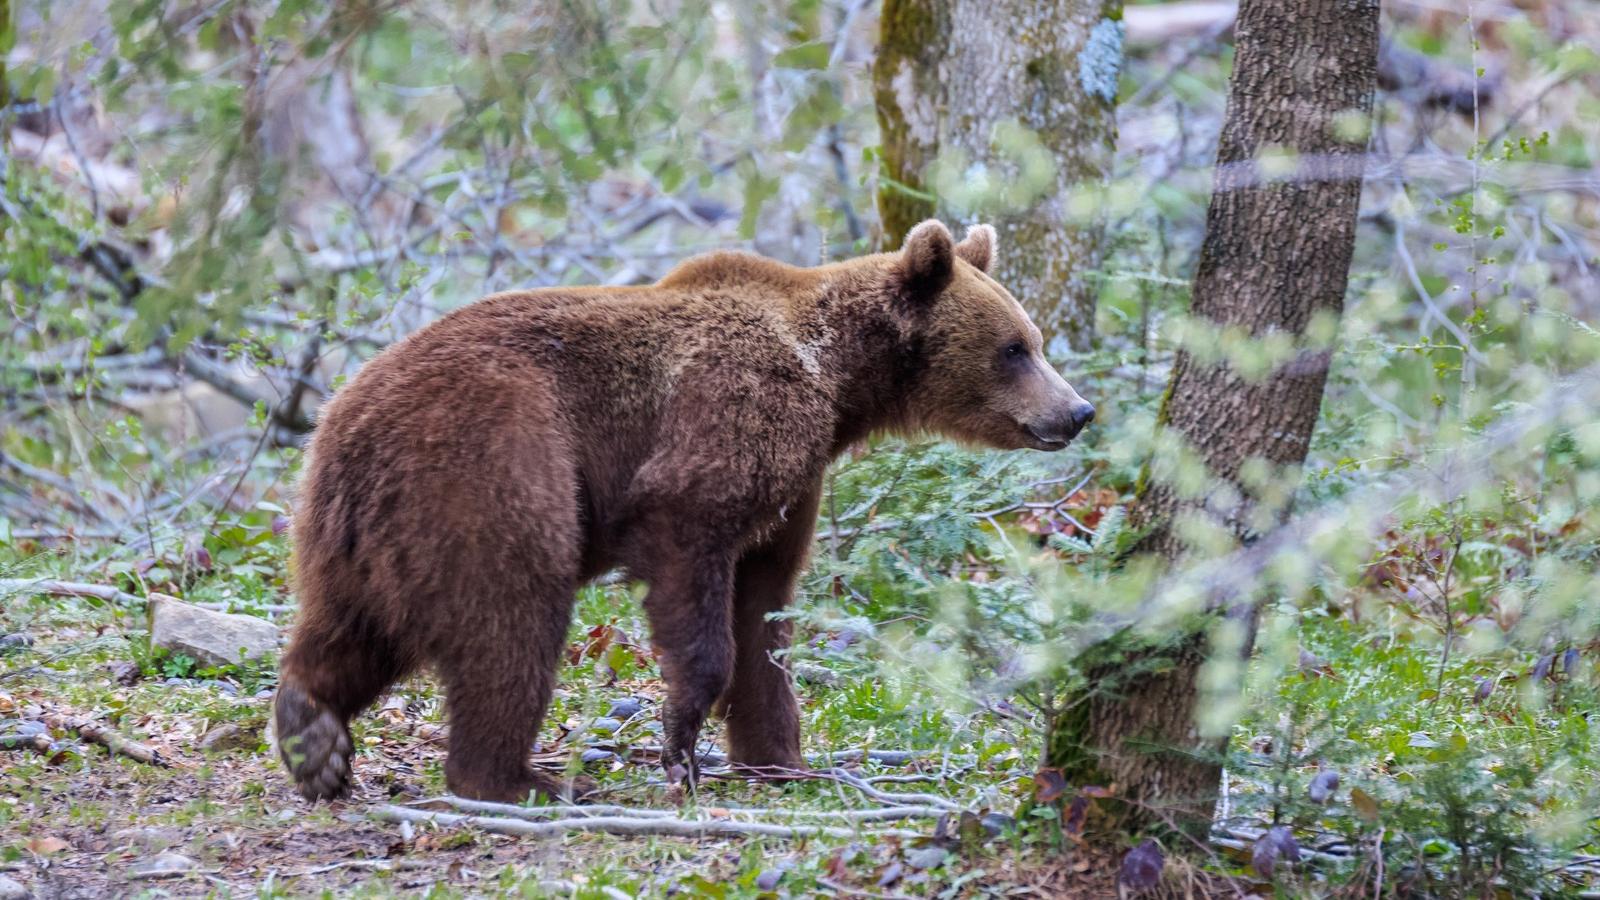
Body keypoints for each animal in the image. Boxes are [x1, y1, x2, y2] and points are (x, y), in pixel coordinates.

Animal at [278, 220, 1100, 800]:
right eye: (1015, 348)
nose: (1078, 410)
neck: (837, 382)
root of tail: (345, 422)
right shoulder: (731, 417)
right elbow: (690, 549)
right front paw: (681, 746)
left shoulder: (796, 484)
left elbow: (765, 607)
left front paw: (781, 758)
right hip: (493, 465)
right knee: (511, 616)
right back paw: (520, 779)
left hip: (361, 526)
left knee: (354, 625)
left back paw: (312, 734)